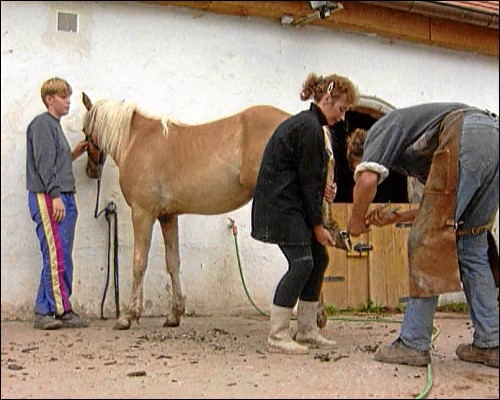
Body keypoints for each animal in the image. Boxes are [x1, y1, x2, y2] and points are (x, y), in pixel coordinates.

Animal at [81, 93, 290, 328]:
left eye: (85, 130)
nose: (91, 170)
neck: (136, 141)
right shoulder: (167, 216)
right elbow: (173, 263)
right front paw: (174, 314)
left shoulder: (142, 213)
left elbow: (139, 262)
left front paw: (128, 315)